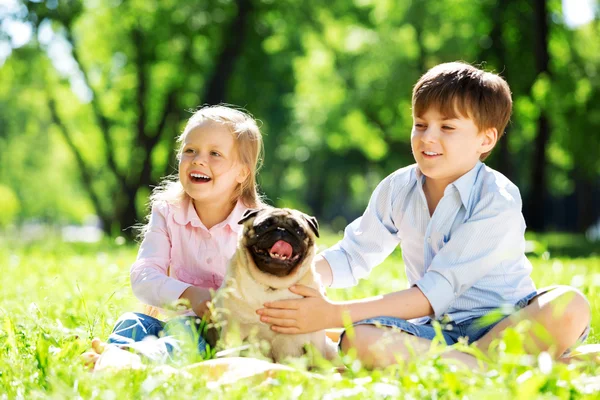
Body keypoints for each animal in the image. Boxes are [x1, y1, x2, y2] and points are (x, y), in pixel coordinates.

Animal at [212, 206, 340, 362]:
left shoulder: (312, 340)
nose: (282, 230)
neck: (272, 285)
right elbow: (228, 354)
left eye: (299, 231)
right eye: (264, 226)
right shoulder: (232, 332)